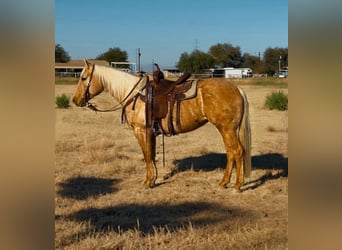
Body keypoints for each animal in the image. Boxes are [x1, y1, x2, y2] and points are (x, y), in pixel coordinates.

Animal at [72, 59, 251, 192]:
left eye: (83, 78)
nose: (75, 100)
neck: (134, 93)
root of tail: (237, 89)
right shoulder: (150, 132)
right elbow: (151, 155)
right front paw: (153, 179)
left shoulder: (141, 131)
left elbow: (146, 155)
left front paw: (147, 182)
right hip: (227, 130)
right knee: (230, 153)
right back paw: (224, 183)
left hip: (227, 129)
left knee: (237, 151)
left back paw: (237, 186)